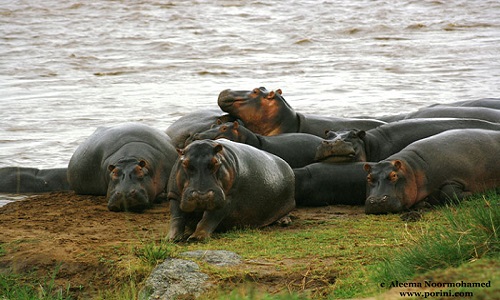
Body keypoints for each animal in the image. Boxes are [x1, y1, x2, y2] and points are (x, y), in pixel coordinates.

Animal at [166, 139, 294, 243]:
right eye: (184, 163)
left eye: (216, 162)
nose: (202, 196)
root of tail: (287, 164)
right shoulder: (174, 195)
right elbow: (177, 217)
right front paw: (171, 238)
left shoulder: (227, 198)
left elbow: (209, 219)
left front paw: (196, 238)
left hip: (288, 203)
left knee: (286, 212)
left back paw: (284, 221)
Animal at [362, 127, 500, 214]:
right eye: (368, 177)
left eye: (394, 175)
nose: (377, 200)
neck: (413, 169)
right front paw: (424, 204)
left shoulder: (454, 178)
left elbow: (447, 193)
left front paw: (473, 193)